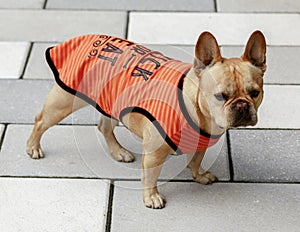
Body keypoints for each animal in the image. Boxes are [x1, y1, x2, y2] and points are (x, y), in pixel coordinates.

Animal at [25, 30, 264, 208]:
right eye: (220, 96)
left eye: (255, 93)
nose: (242, 105)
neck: (197, 108)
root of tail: (80, 38)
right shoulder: (154, 153)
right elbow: (150, 177)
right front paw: (151, 197)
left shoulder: (200, 144)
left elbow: (195, 161)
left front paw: (200, 175)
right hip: (63, 102)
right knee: (40, 121)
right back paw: (33, 147)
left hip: (110, 102)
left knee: (104, 127)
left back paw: (119, 152)